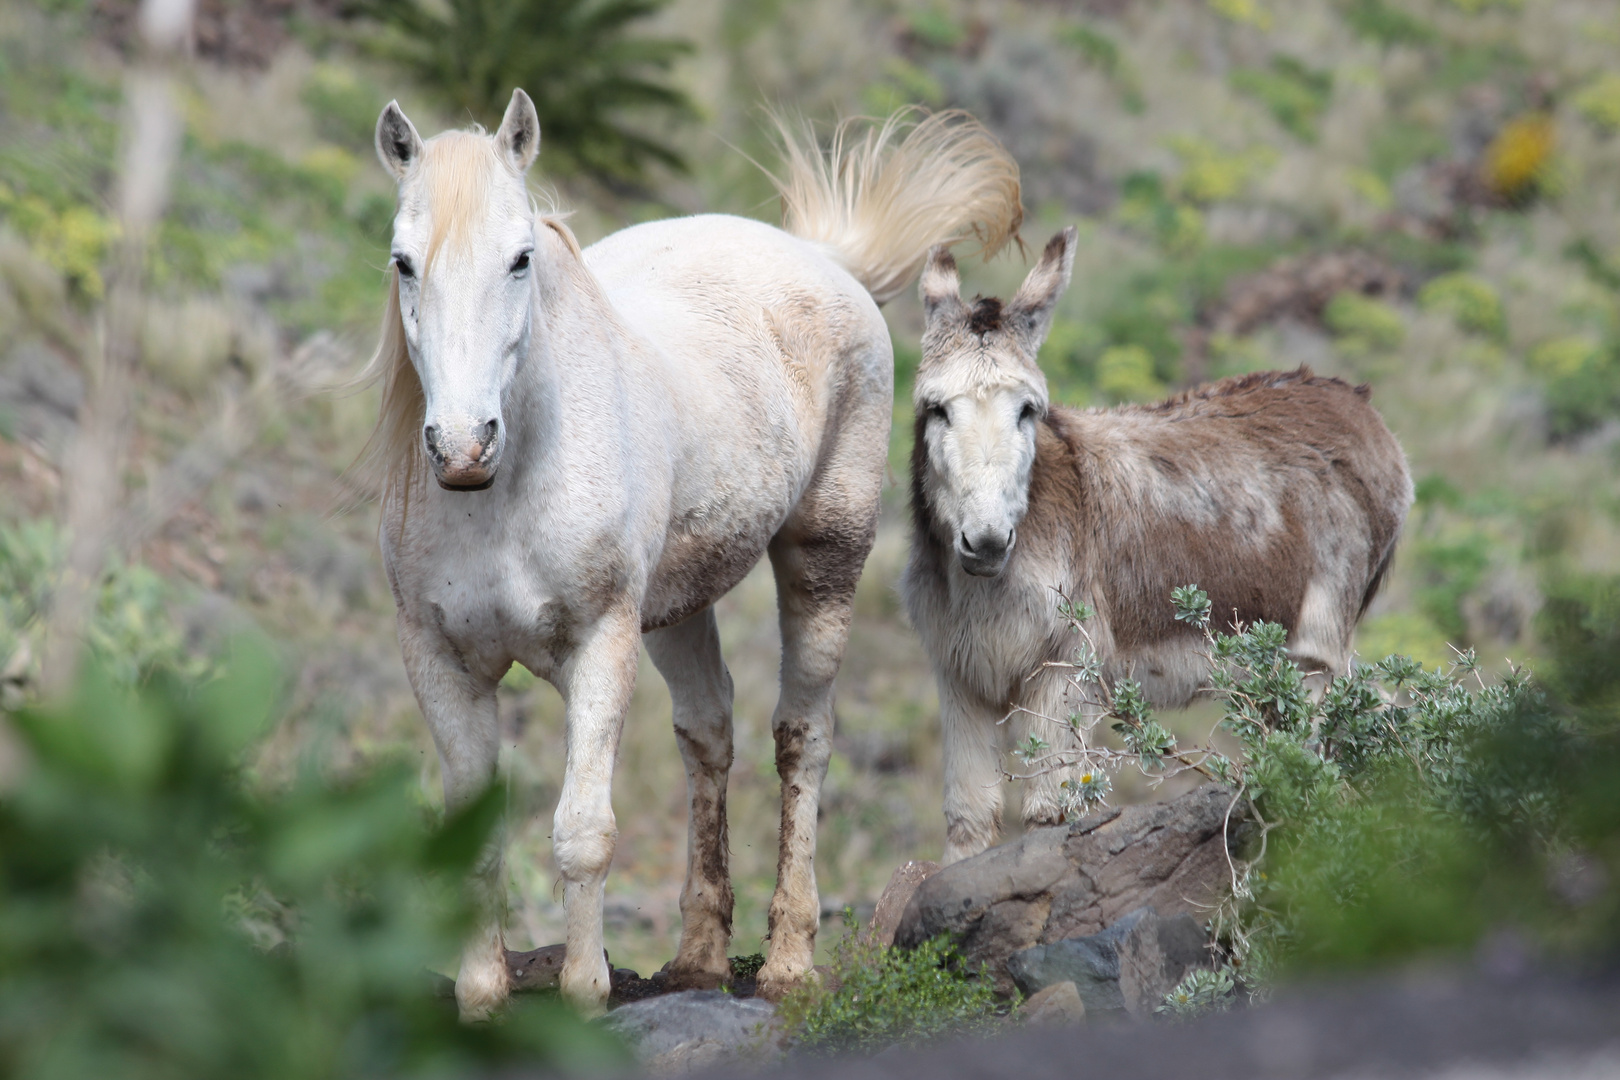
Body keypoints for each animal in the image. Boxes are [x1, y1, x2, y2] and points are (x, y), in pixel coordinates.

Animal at [364, 90, 1023, 1016]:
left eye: (521, 258)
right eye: (403, 263)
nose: (463, 447)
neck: (505, 495)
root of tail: (823, 259)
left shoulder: (600, 644)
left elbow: (582, 834)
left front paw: (584, 995)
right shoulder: (441, 662)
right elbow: (476, 839)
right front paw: (483, 999)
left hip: (824, 558)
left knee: (803, 735)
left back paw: (788, 961)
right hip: (678, 606)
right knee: (708, 732)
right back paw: (701, 959)